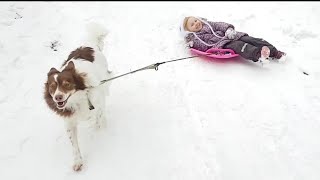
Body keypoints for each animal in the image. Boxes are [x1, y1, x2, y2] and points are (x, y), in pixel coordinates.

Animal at [43, 22, 111, 172]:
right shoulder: (69, 121)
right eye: (52, 87)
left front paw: (99, 130)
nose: (58, 98)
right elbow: (74, 144)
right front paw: (78, 161)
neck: (77, 100)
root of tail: (87, 44)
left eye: (67, 84)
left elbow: (98, 118)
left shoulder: (98, 102)